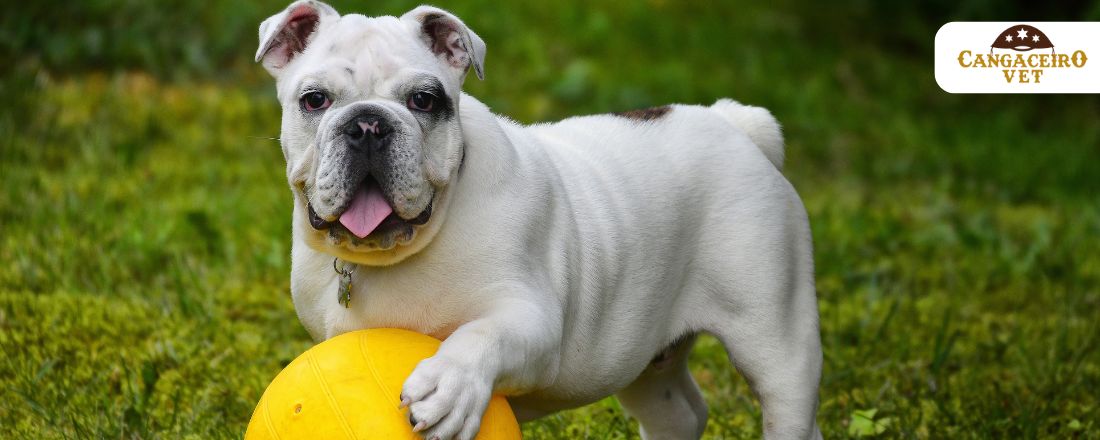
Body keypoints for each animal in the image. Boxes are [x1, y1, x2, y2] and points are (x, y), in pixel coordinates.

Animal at [257, 1, 822, 437]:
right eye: (315, 100)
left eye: (424, 100)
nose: (368, 124)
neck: (394, 255)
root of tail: (734, 122)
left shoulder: (532, 322)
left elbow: (481, 336)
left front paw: (449, 385)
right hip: (645, 359)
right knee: (678, 413)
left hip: (776, 339)